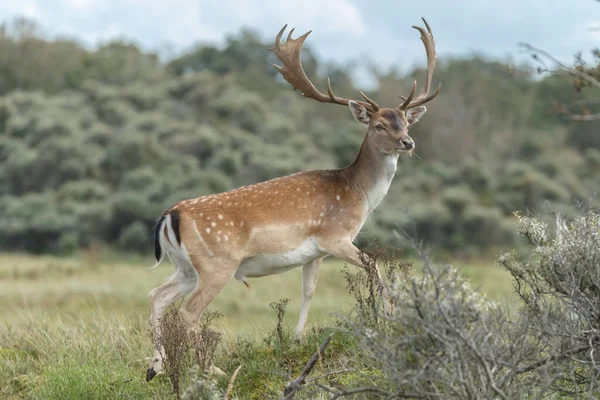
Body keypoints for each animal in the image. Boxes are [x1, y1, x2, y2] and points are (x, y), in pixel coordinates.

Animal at [144, 18, 438, 382]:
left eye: (406, 121)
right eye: (380, 125)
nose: (408, 142)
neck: (356, 193)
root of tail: (169, 216)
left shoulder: (315, 252)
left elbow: (308, 289)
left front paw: (299, 337)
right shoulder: (335, 236)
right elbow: (374, 265)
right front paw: (389, 317)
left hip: (186, 267)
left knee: (157, 295)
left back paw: (155, 366)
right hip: (217, 264)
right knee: (188, 311)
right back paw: (213, 369)